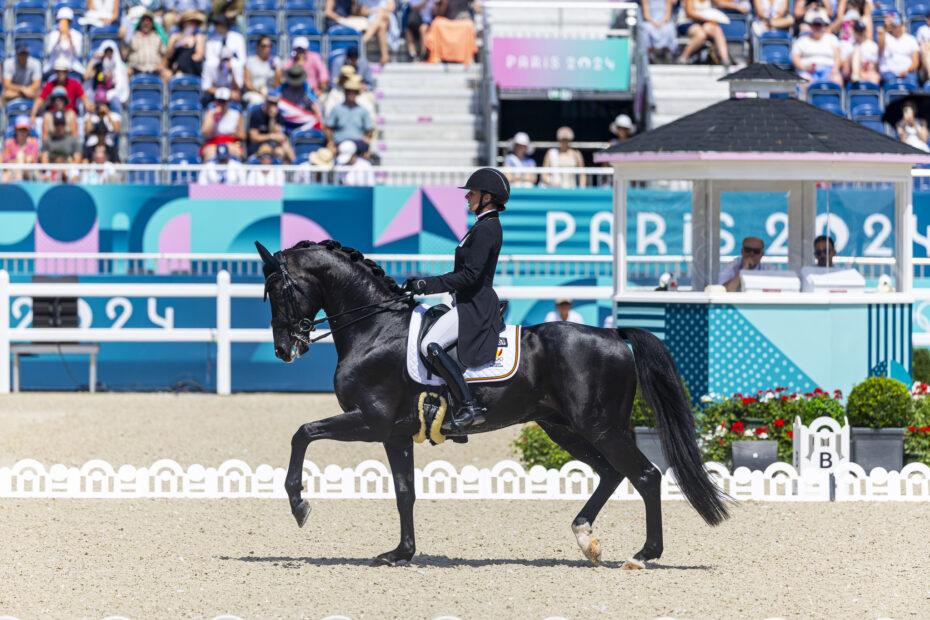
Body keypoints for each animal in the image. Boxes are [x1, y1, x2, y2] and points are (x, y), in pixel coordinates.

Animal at [258, 240, 728, 568]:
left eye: (278, 288)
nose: (283, 349)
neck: (375, 328)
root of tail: (614, 334)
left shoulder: (371, 422)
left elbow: (302, 434)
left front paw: (299, 505)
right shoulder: (395, 434)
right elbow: (405, 492)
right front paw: (400, 553)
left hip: (599, 427)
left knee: (645, 476)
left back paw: (642, 555)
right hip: (563, 427)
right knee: (612, 474)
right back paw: (586, 539)